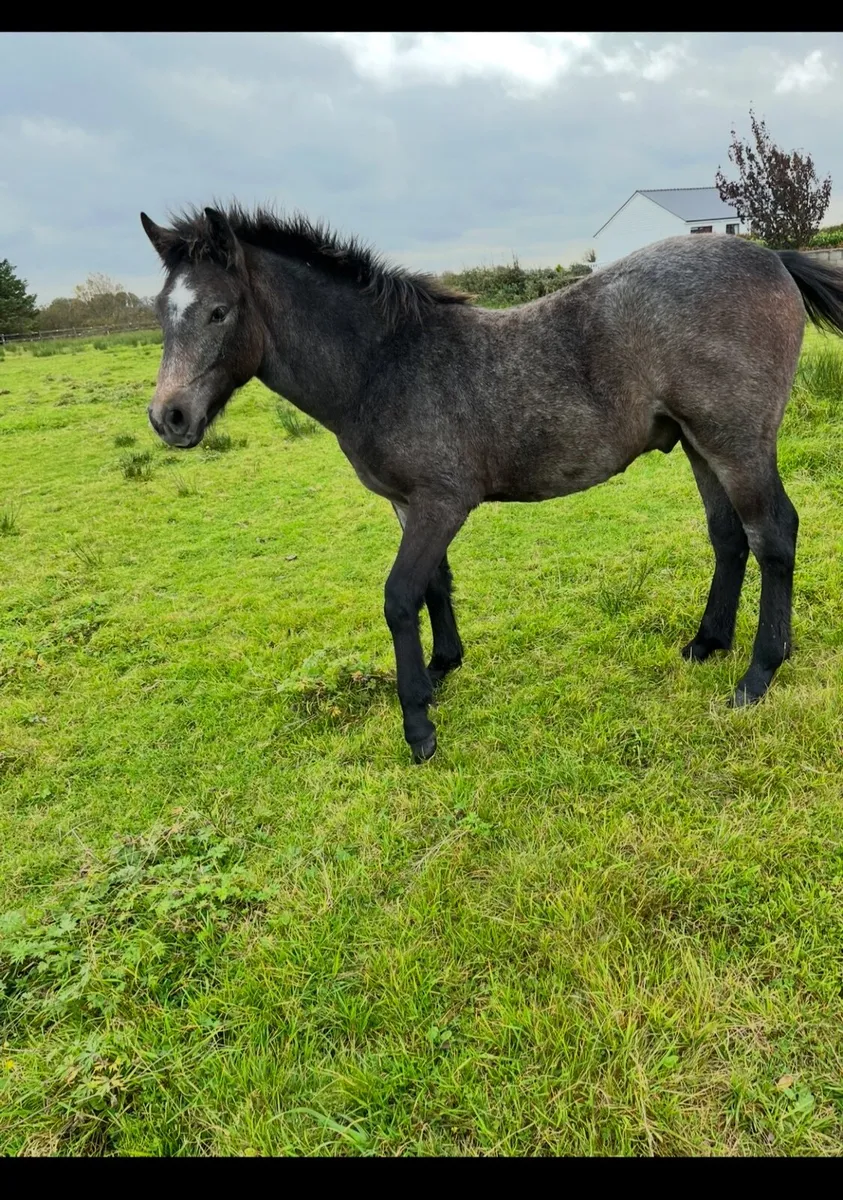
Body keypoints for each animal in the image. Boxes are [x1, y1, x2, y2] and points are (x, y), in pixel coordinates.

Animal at [140, 204, 843, 763]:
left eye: (219, 311)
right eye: (162, 315)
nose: (168, 418)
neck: (384, 365)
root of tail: (772, 257)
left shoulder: (443, 502)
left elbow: (399, 597)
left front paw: (418, 727)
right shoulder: (409, 505)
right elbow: (434, 585)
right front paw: (442, 668)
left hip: (736, 441)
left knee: (772, 534)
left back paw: (757, 676)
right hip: (698, 443)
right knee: (728, 536)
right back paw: (707, 642)